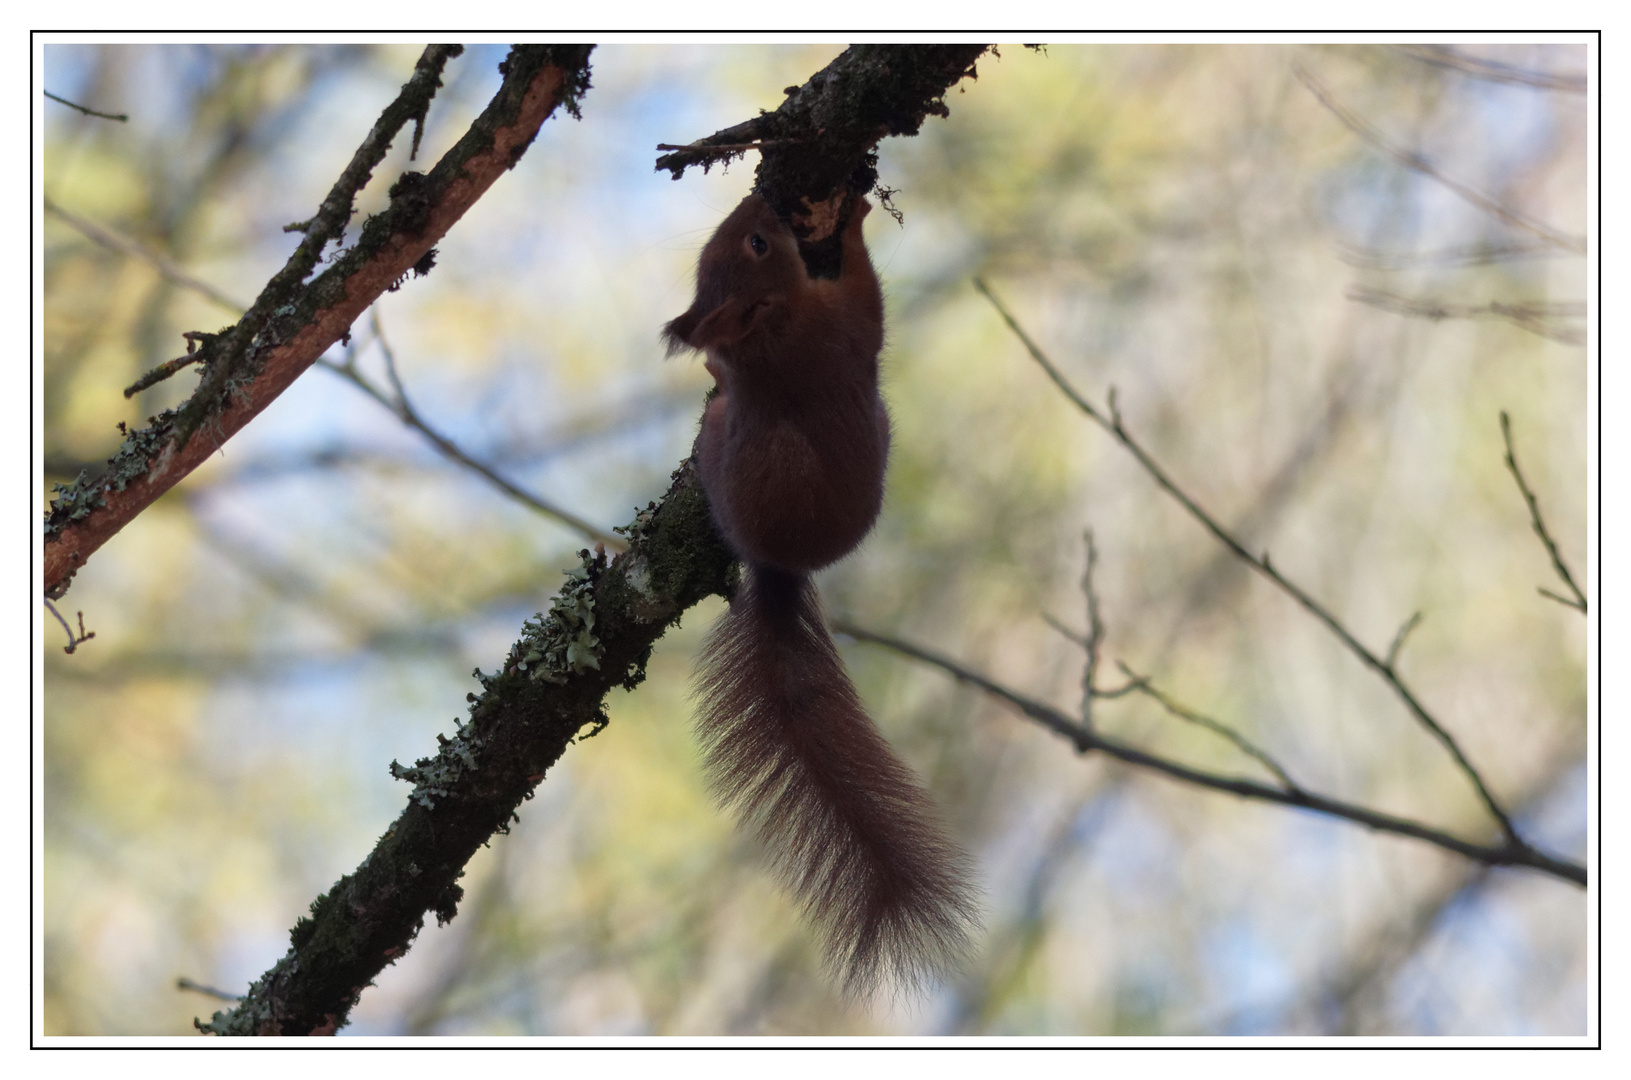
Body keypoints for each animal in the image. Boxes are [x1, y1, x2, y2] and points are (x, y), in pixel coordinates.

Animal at [665, 194, 978, 998]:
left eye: (732, 242)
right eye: (758, 241)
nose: (758, 201)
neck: (770, 334)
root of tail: (777, 568)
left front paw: (710, 365)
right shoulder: (841, 328)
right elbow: (870, 303)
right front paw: (858, 220)